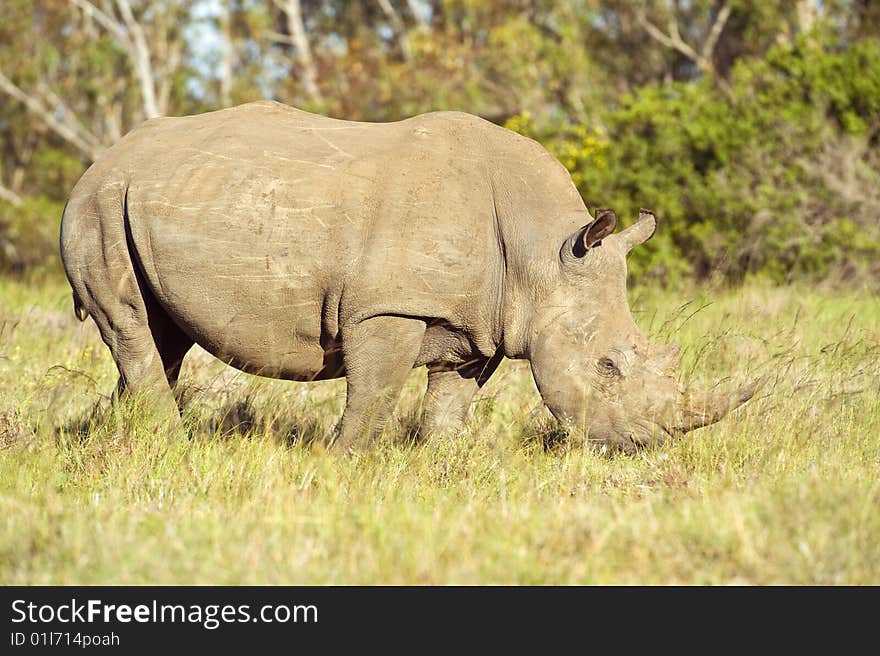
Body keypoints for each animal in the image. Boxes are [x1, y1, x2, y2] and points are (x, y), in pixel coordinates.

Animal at [58, 101, 756, 452]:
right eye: (608, 366)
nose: (647, 444)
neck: (543, 248)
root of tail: (108, 154)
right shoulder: (387, 307)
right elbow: (373, 395)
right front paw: (341, 465)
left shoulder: (481, 321)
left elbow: (451, 401)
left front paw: (444, 464)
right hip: (97, 203)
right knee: (133, 327)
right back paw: (167, 444)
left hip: (148, 198)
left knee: (161, 337)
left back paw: (115, 439)